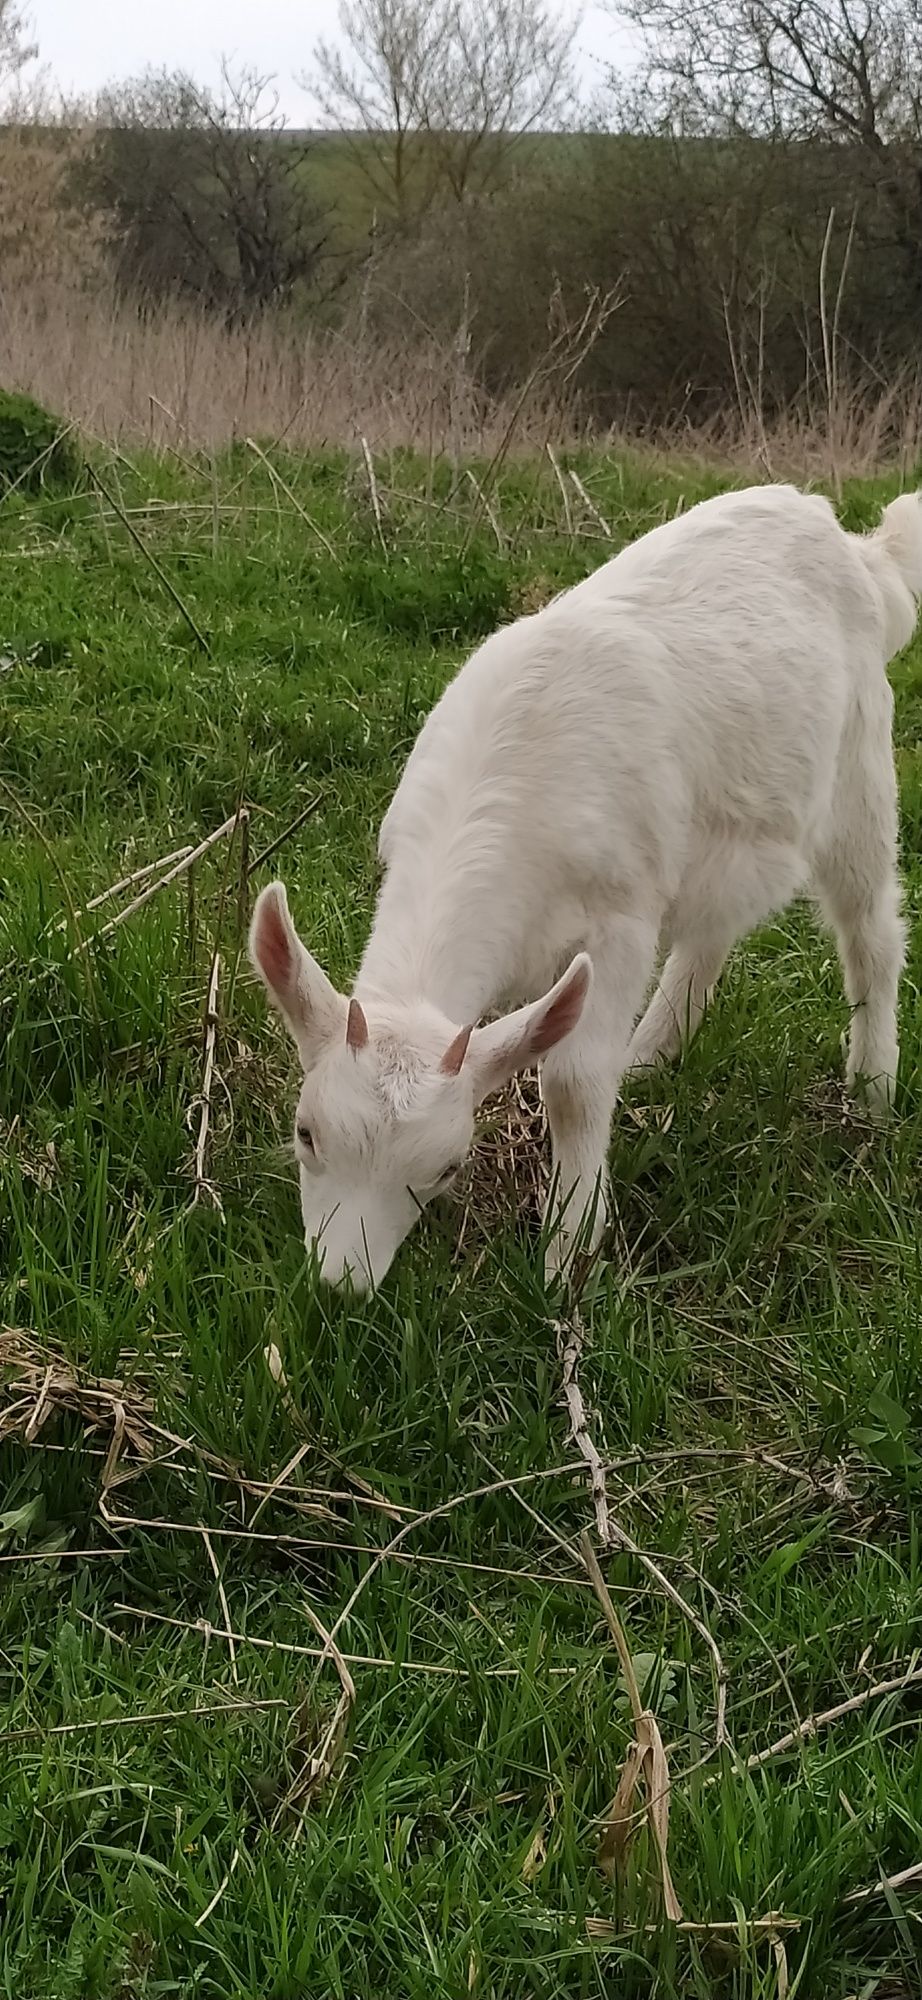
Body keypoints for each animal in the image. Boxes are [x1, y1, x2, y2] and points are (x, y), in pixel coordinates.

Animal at [248, 486, 916, 1296]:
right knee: (710, 935)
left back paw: (874, 1091)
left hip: (860, 773)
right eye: (305, 1132)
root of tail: (855, 543)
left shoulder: (622, 913)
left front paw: (569, 1255)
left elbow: (571, 1081)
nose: (340, 1286)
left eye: (447, 1169)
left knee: (871, 931)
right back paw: (650, 1057)